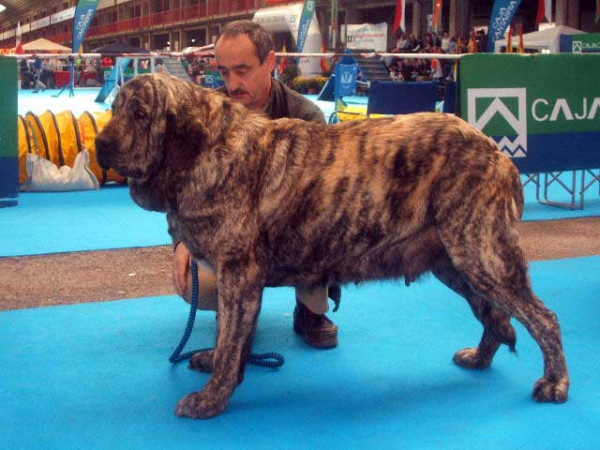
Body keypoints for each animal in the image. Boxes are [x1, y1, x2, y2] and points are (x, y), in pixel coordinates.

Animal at [96, 73, 568, 418]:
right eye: (114, 109)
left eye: (141, 114)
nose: (100, 144)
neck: (207, 149)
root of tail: (496, 150)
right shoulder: (240, 283)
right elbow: (232, 336)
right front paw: (216, 363)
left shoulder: (238, 274)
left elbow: (231, 339)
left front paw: (212, 397)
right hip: (454, 262)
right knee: (495, 315)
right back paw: (480, 358)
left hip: (481, 254)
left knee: (543, 318)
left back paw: (555, 383)